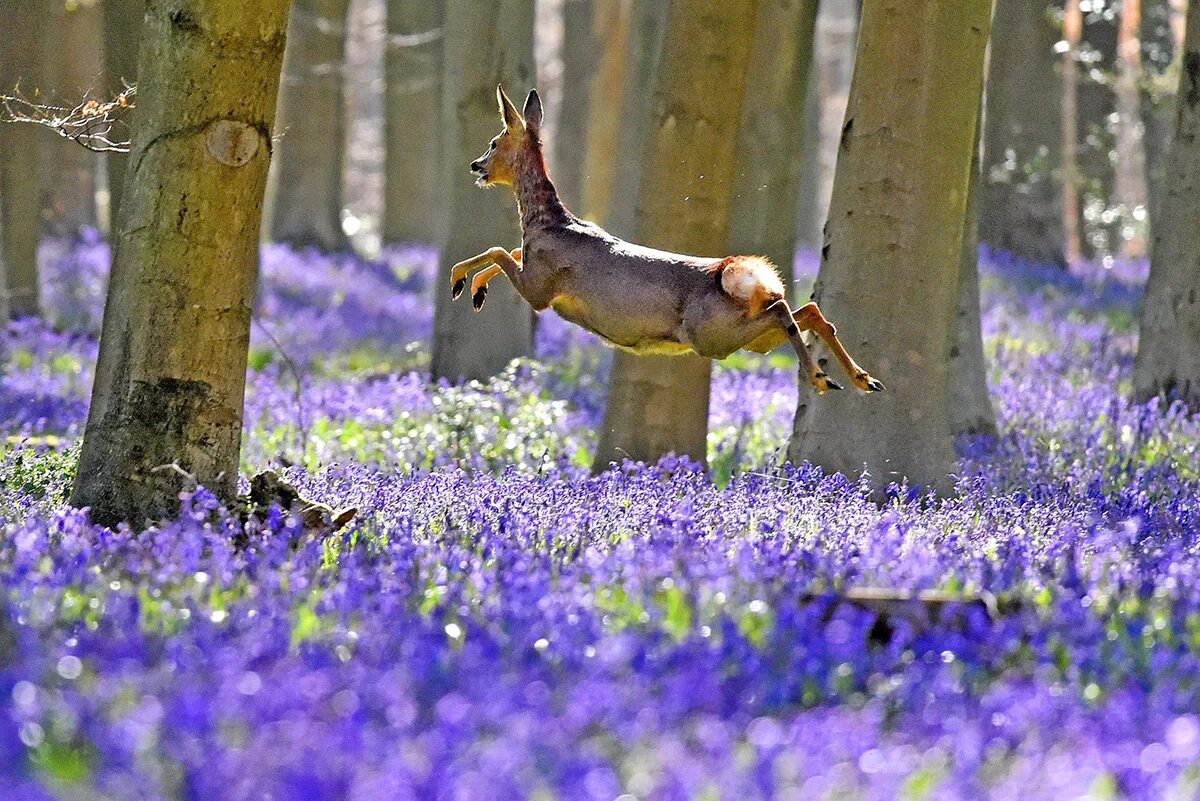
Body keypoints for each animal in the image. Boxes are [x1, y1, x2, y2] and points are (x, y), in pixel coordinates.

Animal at [451, 86, 883, 395]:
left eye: (494, 141)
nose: (474, 165)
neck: (547, 223)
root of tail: (742, 276)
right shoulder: (536, 277)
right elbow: (505, 250)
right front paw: (472, 288)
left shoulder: (541, 286)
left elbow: (500, 250)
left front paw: (462, 283)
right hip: (745, 338)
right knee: (806, 310)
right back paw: (863, 379)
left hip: (711, 335)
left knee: (785, 311)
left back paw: (822, 379)